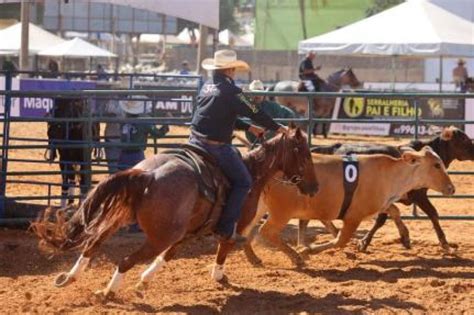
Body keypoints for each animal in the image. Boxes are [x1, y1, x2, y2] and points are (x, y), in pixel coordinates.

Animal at [33, 127, 318, 300]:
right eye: (304, 155)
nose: (314, 187)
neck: (253, 172)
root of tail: (147, 175)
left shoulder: (188, 232)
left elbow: (168, 256)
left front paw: (144, 282)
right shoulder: (231, 225)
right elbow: (223, 248)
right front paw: (219, 276)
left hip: (121, 218)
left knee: (92, 244)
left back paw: (70, 277)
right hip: (160, 235)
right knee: (125, 260)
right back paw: (108, 292)